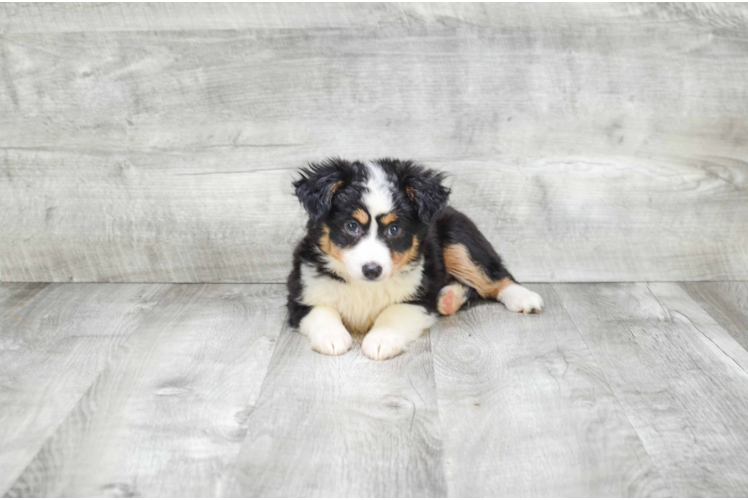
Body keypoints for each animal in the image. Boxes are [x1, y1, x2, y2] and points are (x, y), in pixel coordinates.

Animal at [286, 157, 544, 360]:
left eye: (394, 229)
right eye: (351, 226)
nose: (372, 270)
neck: (365, 287)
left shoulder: (419, 296)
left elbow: (392, 313)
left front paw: (380, 341)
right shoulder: (302, 292)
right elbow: (322, 311)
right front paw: (333, 338)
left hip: (459, 240)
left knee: (494, 275)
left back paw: (523, 297)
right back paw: (449, 298)